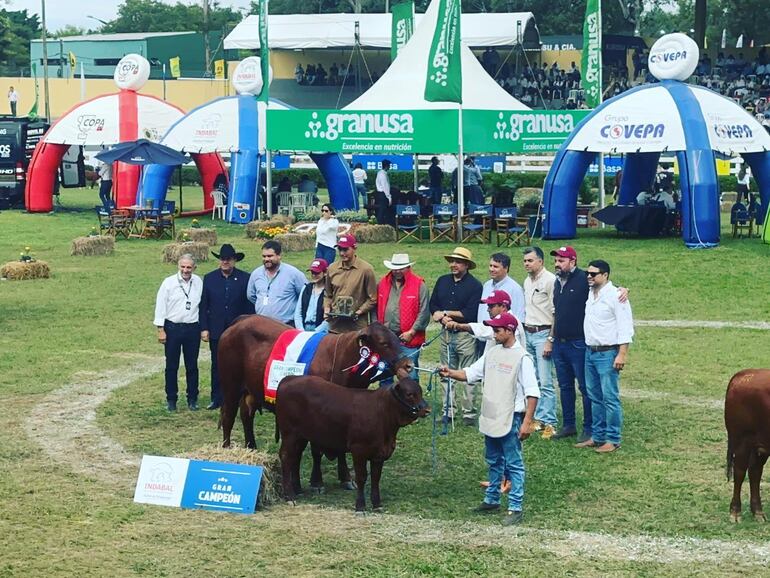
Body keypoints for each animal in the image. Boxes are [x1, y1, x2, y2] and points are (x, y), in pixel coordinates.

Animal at [216, 312, 408, 448]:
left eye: (397, 339)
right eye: (383, 343)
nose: (408, 364)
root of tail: (243, 319)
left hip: (250, 389)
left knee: (246, 414)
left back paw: (251, 447)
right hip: (230, 385)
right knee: (228, 416)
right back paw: (226, 448)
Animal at [276, 374, 428, 508]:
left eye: (420, 391)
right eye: (409, 394)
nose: (427, 410)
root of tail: (289, 378)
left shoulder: (379, 454)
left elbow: (375, 478)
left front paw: (377, 504)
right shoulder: (359, 450)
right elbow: (361, 477)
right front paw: (360, 506)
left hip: (301, 436)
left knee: (296, 458)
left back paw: (298, 490)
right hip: (289, 434)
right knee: (286, 457)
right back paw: (289, 496)